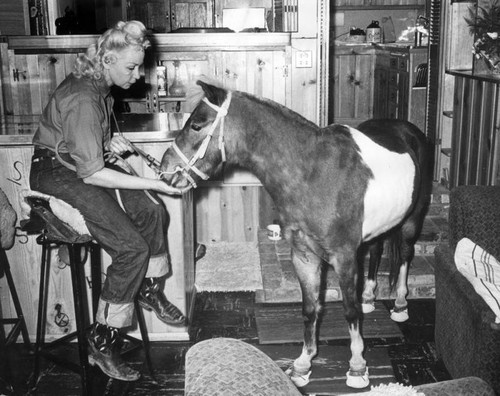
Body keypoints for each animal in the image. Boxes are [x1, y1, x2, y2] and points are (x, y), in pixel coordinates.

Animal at [161, 81, 434, 390]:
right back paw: (369, 297)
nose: (164, 169)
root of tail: (409, 131)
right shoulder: (303, 255)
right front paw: (304, 363)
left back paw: (399, 303)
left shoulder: (344, 258)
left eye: (197, 124)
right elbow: (310, 308)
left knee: (406, 255)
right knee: (377, 250)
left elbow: (349, 311)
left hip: (412, 220)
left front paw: (357, 367)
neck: (313, 174)